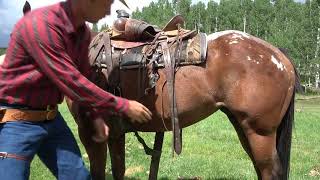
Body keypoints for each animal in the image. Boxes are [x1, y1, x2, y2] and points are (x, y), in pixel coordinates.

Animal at [66, 27, 302, 180]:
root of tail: (280, 57)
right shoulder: (116, 133)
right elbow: (118, 170)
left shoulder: (91, 132)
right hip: (244, 128)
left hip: (259, 132)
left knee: (269, 171)